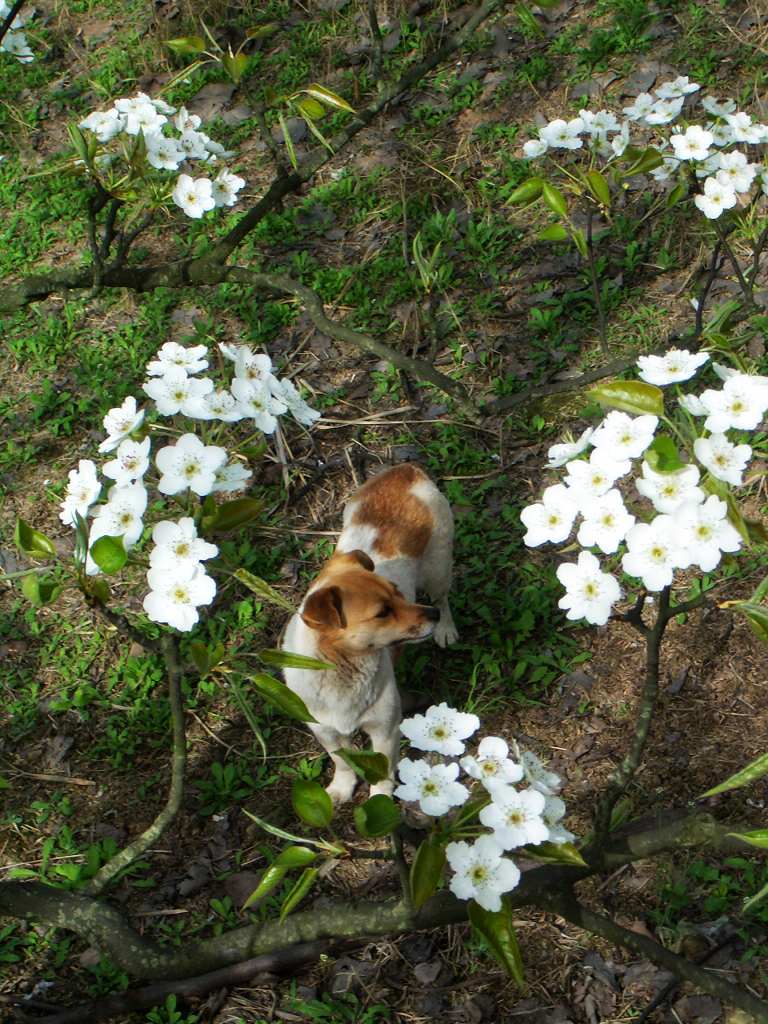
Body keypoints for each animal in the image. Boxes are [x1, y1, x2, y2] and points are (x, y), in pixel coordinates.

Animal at [280, 468, 456, 802]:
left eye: (399, 593)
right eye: (382, 612)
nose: (431, 616)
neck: (341, 668)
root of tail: (405, 471)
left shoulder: (384, 728)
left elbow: (384, 771)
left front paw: (380, 800)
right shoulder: (325, 731)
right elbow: (341, 761)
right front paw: (342, 787)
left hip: (439, 570)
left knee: (443, 596)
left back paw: (447, 627)